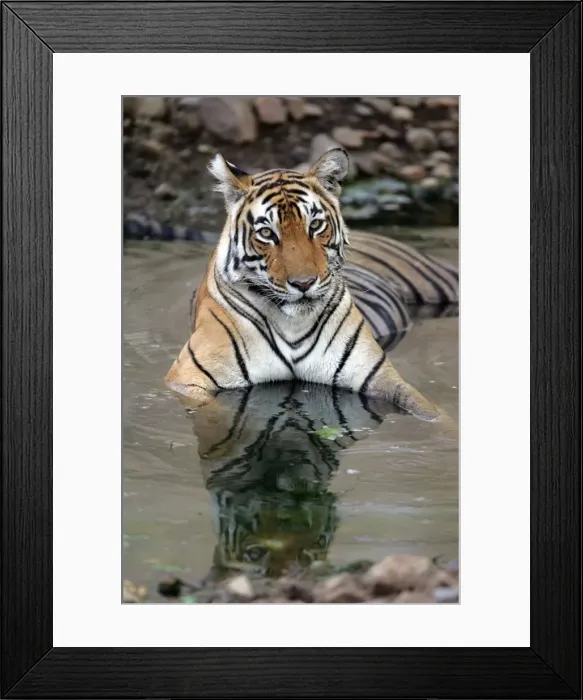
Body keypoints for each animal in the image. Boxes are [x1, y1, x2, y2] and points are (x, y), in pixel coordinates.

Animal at [164, 147, 458, 434]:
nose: (303, 283)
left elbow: (430, 411)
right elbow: (216, 413)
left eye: (315, 226)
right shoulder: (187, 378)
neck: (293, 325)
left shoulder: (378, 375)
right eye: (266, 233)